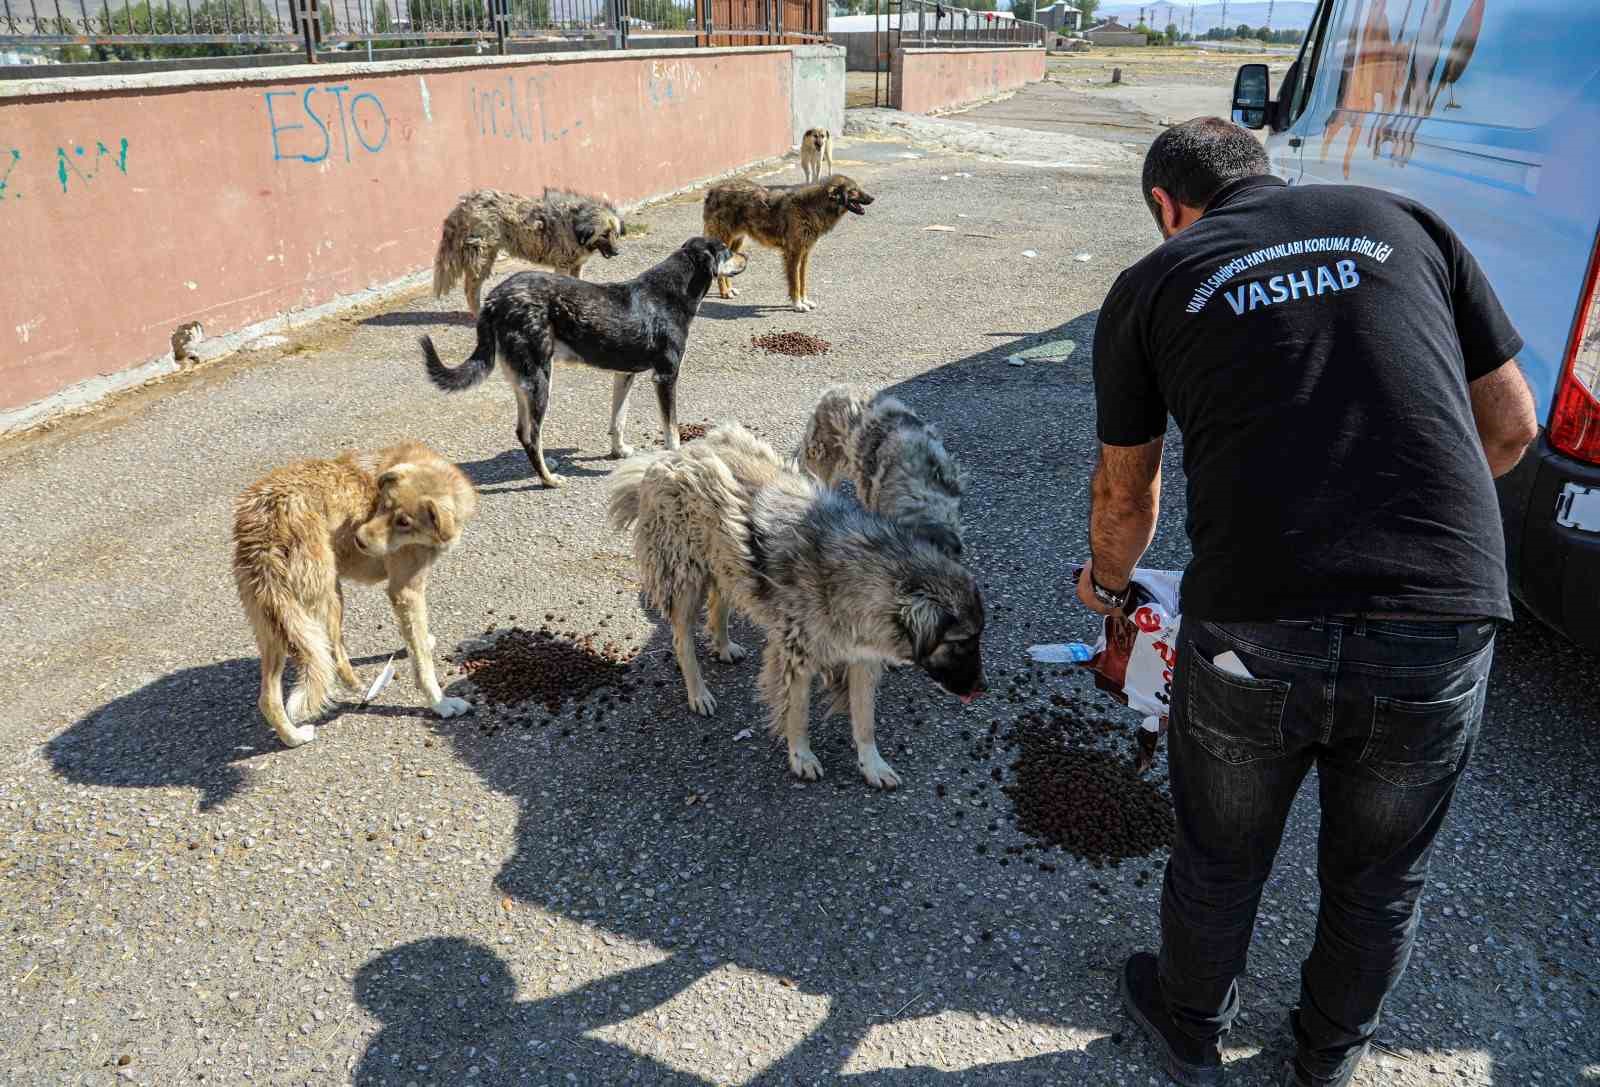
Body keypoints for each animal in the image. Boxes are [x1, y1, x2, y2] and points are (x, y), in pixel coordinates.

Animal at [425, 243, 748, 493]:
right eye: (727, 250)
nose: (747, 256)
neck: (669, 295)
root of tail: (494, 299)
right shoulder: (666, 377)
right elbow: (672, 431)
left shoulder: (625, 374)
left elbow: (618, 420)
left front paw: (619, 451)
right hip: (540, 380)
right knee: (532, 434)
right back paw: (548, 479)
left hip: (523, 381)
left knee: (523, 431)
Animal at [432, 185, 624, 315]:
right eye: (604, 234)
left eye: (615, 233)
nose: (617, 252)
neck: (574, 223)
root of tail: (465, 203)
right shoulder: (562, 265)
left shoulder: (577, 265)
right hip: (482, 259)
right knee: (470, 290)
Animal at [608, 419, 985, 787]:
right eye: (960, 642)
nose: (983, 689)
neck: (866, 573)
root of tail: (672, 455)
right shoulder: (797, 657)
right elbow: (798, 714)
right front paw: (800, 756)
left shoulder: (862, 656)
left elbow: (865, 719)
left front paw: (872, 764)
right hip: (685, 575)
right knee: (681, 639)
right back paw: (698, 691)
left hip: (725, 562)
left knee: (720, 602)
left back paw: (724, 645)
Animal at [700, 174, 876, 310]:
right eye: (853, 190)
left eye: (857, 188)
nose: (873, 198)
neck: (811, 208)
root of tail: (713, 191)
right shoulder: (793, 253)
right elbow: (795, 282)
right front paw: (798, 304)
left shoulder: (805, 254)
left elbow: (802, 280)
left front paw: (805, 300)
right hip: (725, 238)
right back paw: (724, 292)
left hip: (737, 241)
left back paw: (730, 290)